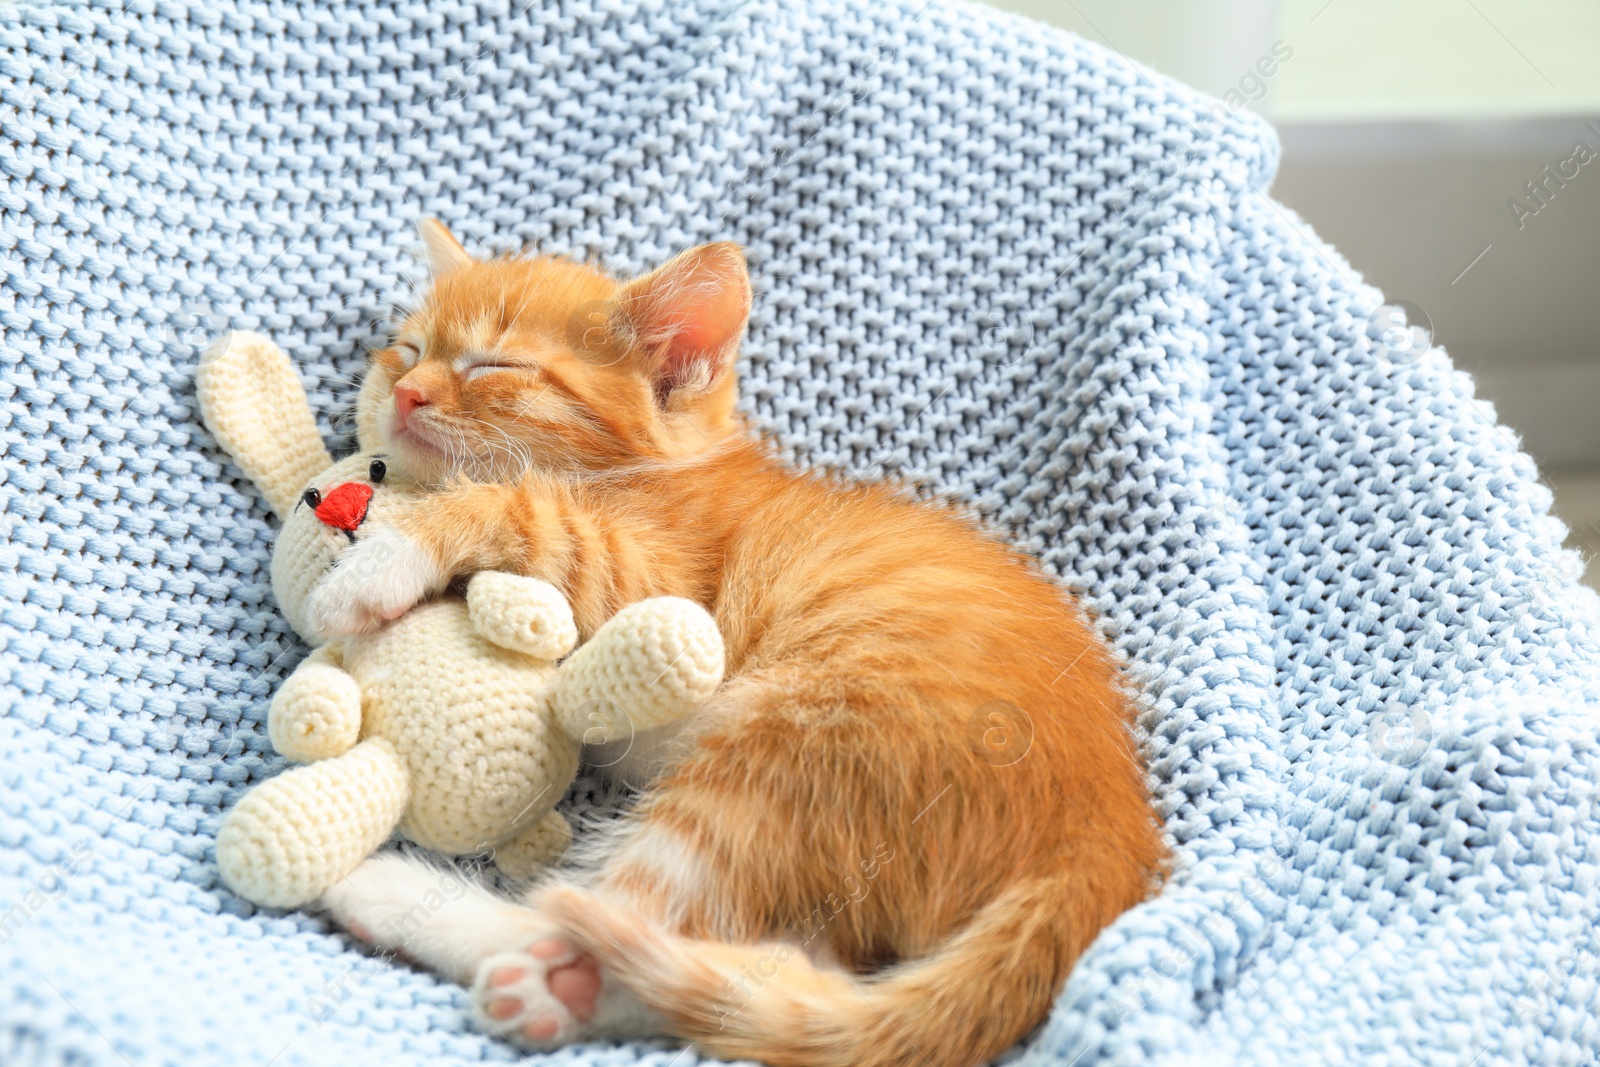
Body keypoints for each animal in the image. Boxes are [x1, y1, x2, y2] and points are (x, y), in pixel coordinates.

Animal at [315, 220, 1164, 1062]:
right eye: (408, 350)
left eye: (496, 364)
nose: (404, 391)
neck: (657, 473)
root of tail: (1106, 835)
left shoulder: (667, 593)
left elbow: (520, 506)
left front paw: (383, 562)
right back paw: (559, 994)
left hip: (792, 740)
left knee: (604, 912)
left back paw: (409, 901)